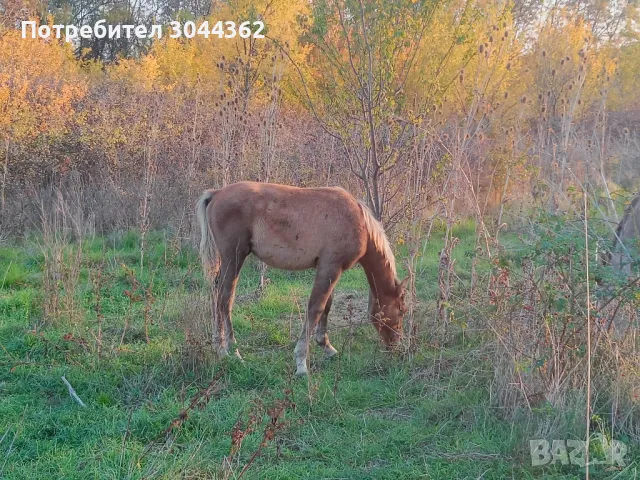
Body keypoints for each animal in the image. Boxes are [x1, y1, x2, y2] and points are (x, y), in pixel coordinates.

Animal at [194, 181, 410, 376]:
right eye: (401, 311)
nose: (399, 349)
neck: (358, 221)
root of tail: (216, 193)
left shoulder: (328, 269)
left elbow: (327, 306)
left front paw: (326, 346)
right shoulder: (330, 268)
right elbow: (315, 309)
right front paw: (301, 363)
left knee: (216, 294)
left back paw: (218, 347)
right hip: (234, 258)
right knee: (225, 300)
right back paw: (231, 351)